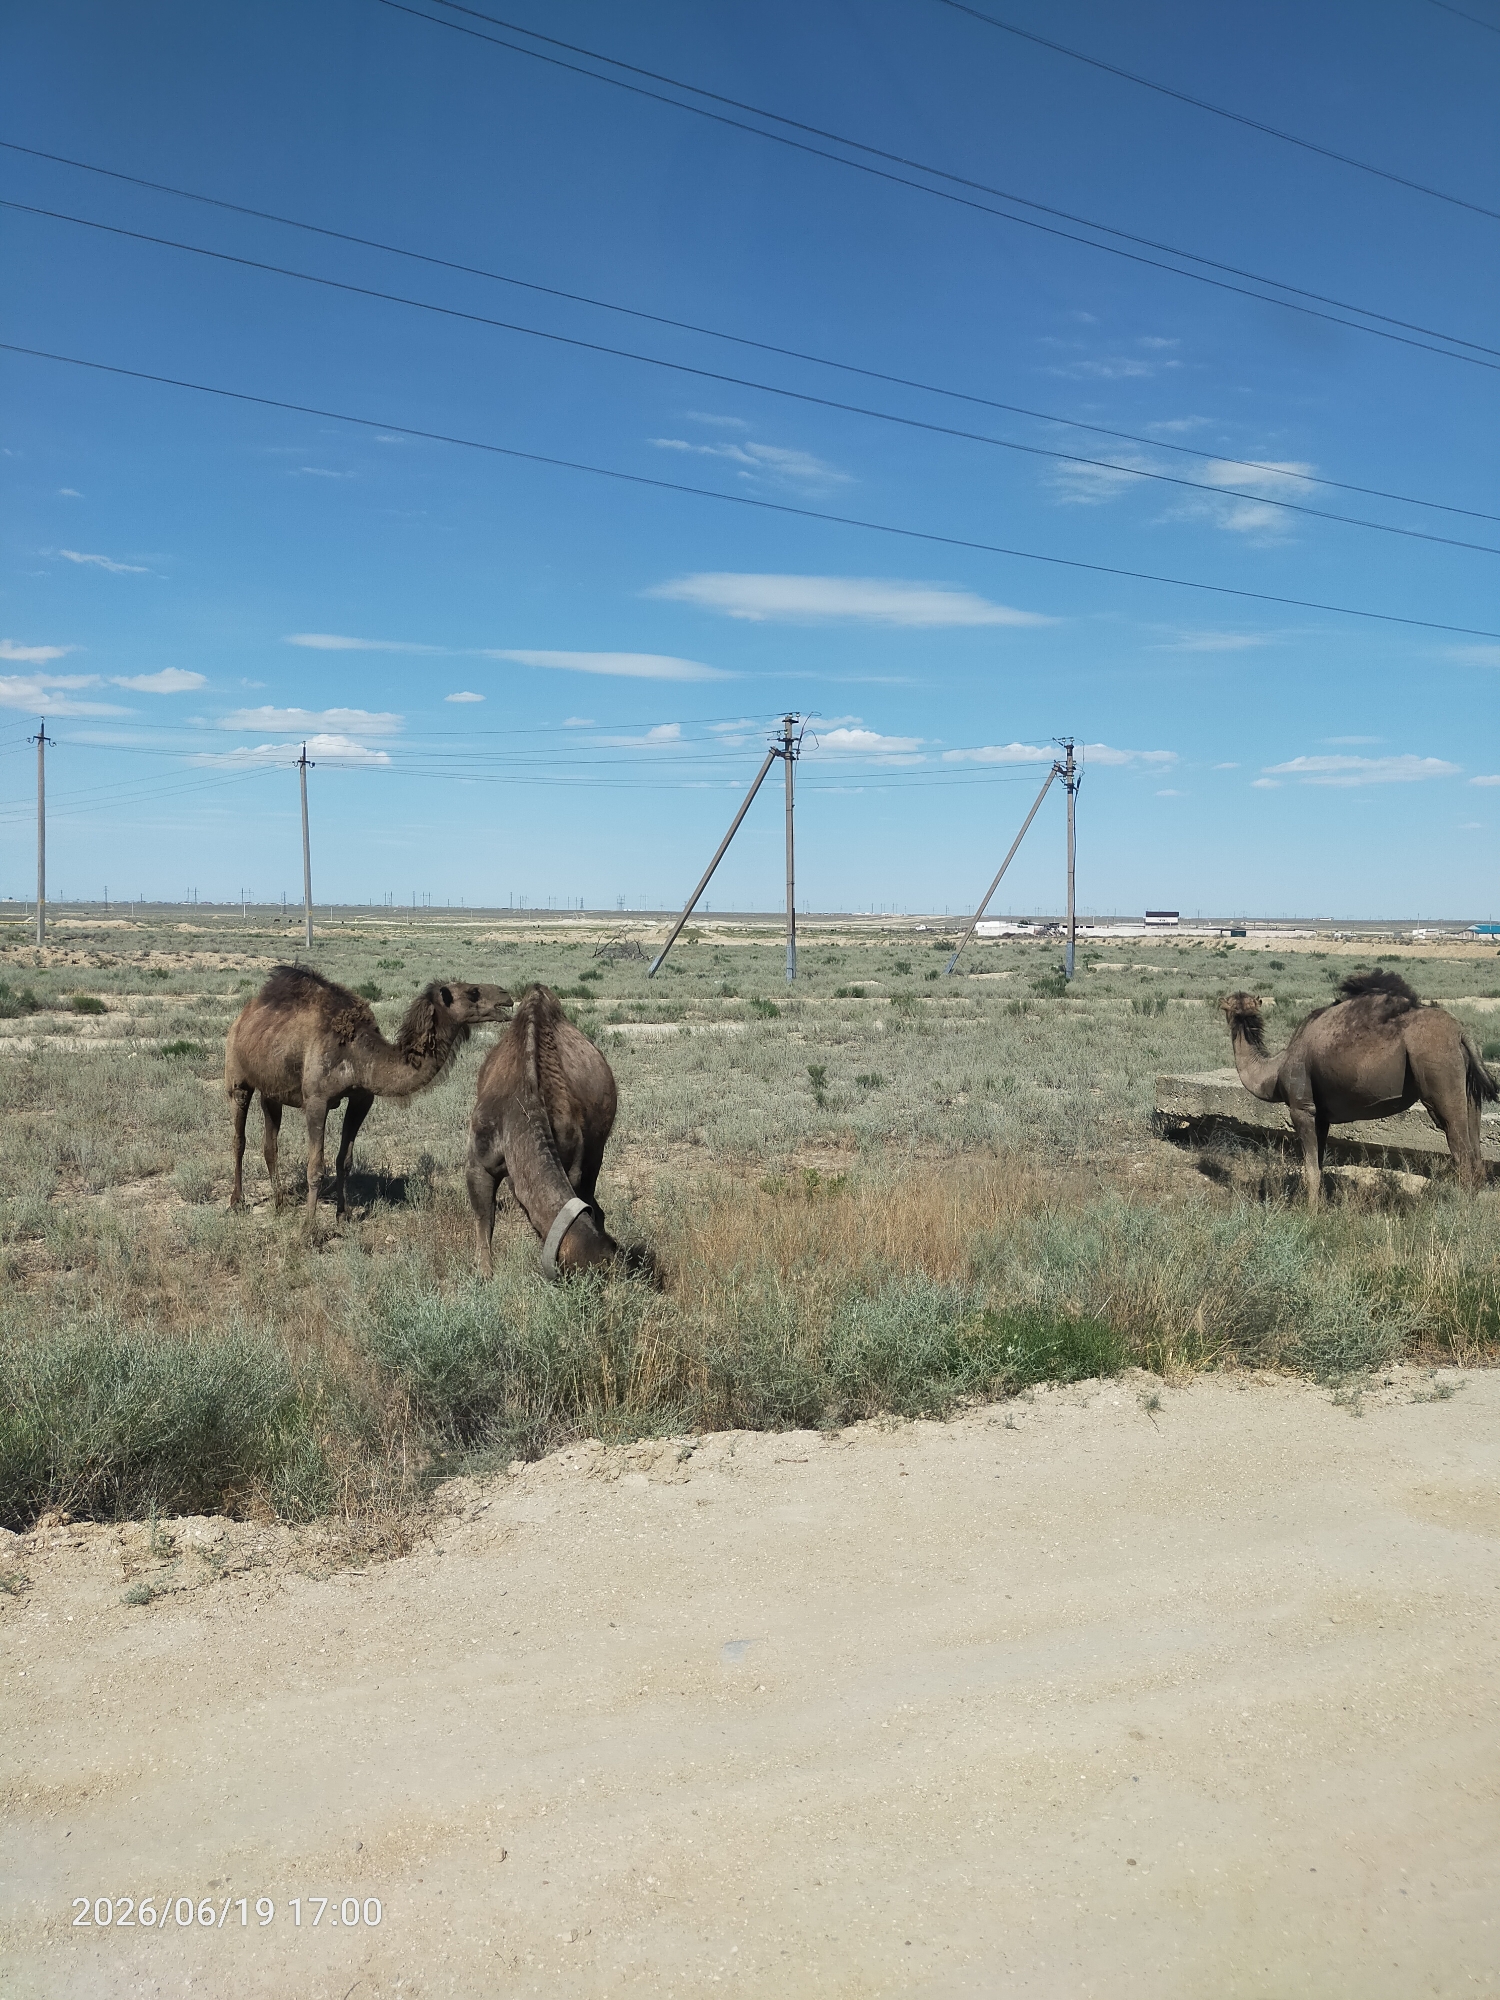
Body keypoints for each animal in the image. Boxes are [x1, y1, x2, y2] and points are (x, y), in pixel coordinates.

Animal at [226, 964, 513, 1219]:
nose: (506, 995)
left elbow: (345, 1160)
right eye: (473, 992)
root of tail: (244, 1014)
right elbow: (315, 1168)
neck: (358, 1053)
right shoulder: (317, 1100)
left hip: (271, 1089)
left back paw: (279, 1202)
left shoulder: (362, 1098)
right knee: (239, 1138)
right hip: (238, 1077)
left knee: (270, 1143)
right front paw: (309, 1229)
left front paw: (343, 1215)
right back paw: (237, 1201)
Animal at [1221, 969, 1496, 1205]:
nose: (1232, 1010)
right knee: (1475, 1147)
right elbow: (1319, 1163)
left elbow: (1310, 1169)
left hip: (1438, 1069)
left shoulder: (1302, 1107)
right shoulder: (1322, 1116)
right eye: (1232, 1006)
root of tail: (1460, 1032)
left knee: (1459, 1147)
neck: (1275, 1071)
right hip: (1466, 1085)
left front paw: (1311, 1212)